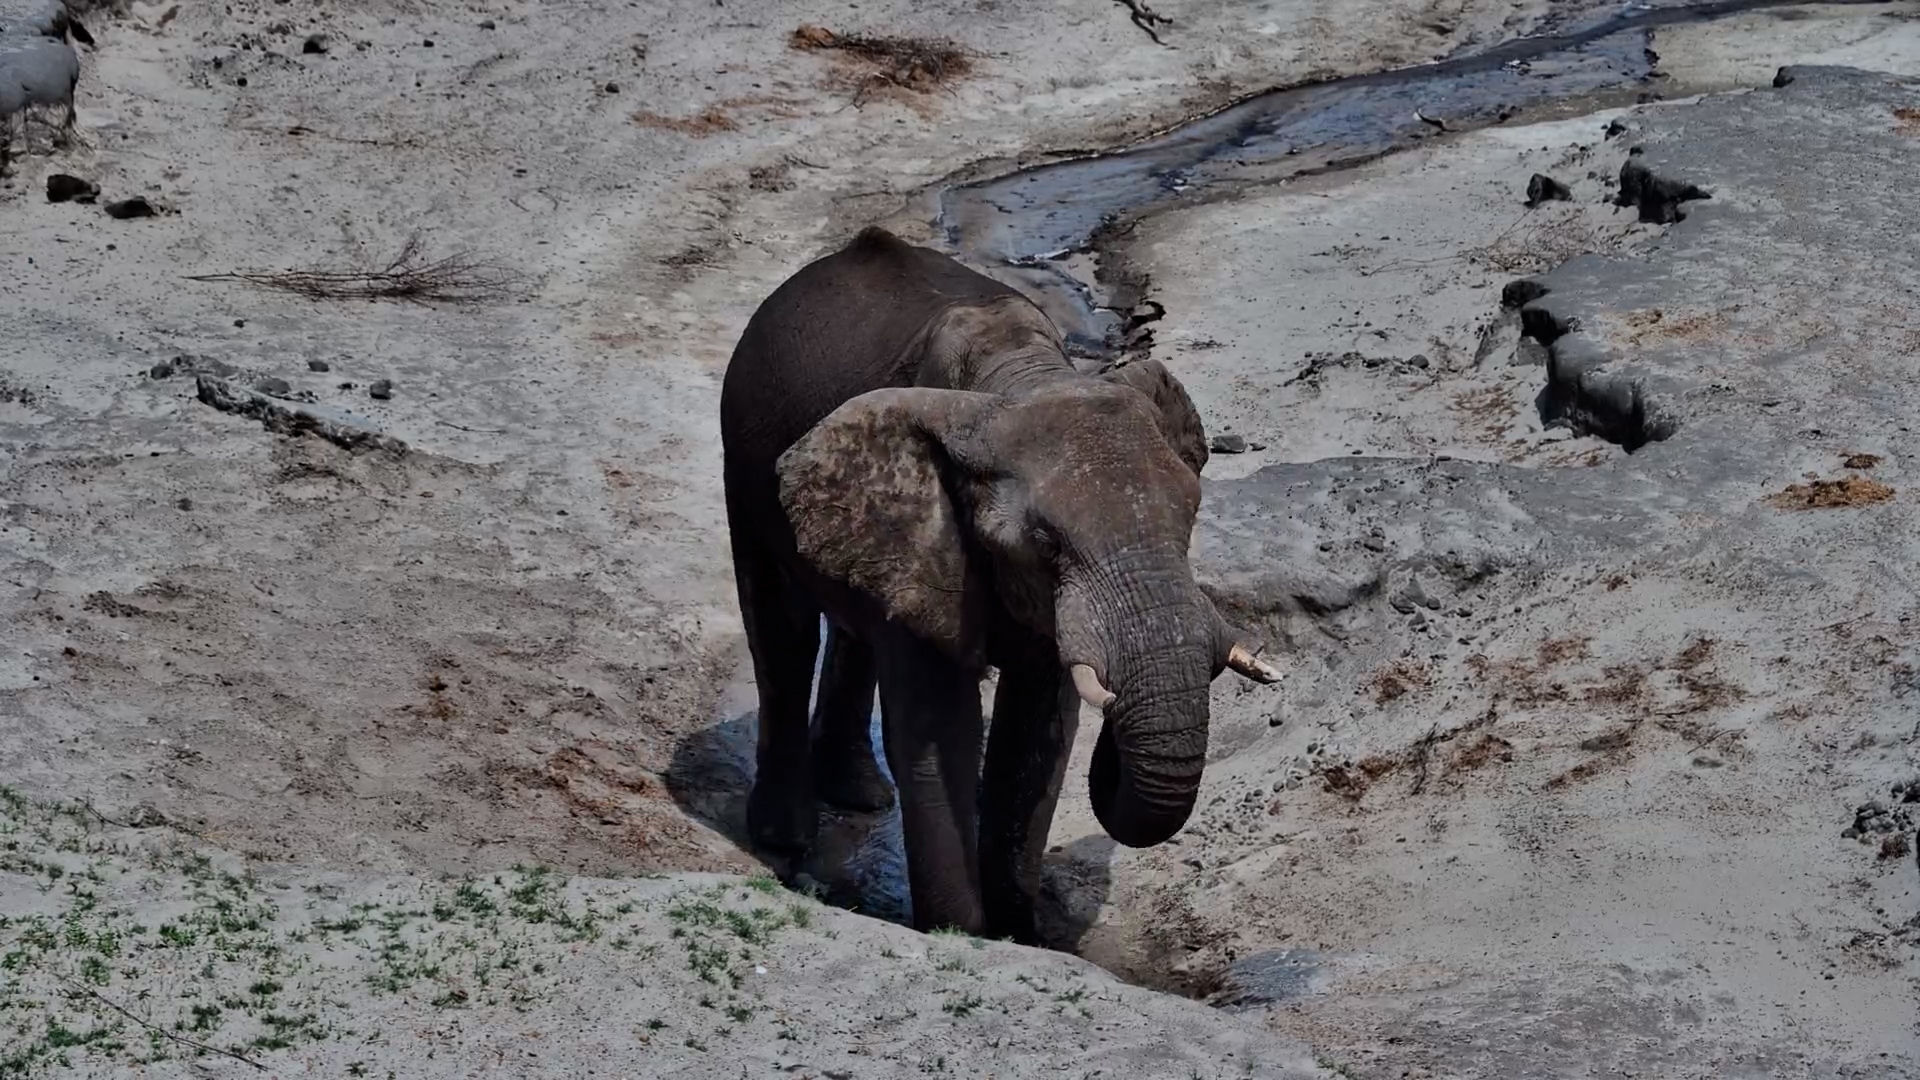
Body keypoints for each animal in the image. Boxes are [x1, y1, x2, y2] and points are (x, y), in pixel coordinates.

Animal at [719, 226, 1279, 943]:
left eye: (1190, 518)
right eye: (1045, 544)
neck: (1018, 378)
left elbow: (1039, 728)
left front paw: (1020, 933)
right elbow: (942, 729)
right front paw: (961, 935)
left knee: (852, 627)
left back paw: (861, 795)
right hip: (743, 448)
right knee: (781, 629)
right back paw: (784, 837)